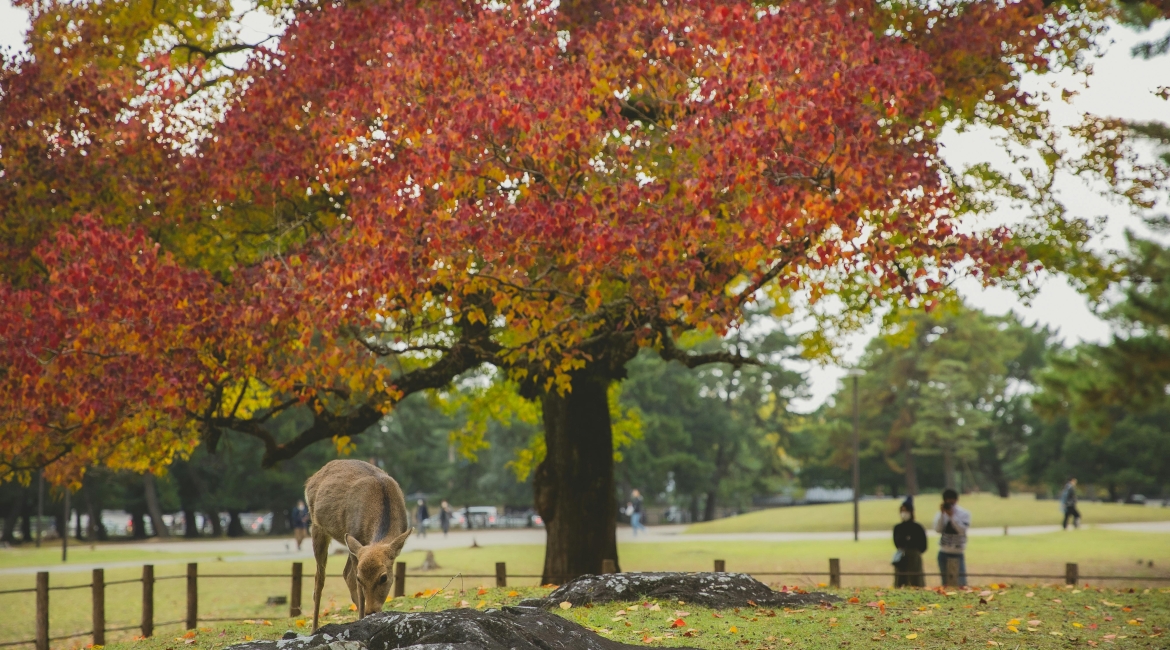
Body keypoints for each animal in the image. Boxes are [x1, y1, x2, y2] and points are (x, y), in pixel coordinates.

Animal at [304, 455, 414, 631]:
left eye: (384, 577)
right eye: (360, 579)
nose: (371, 611)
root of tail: (311, 479)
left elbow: (350, 577)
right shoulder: (354, 535)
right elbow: (355, 584)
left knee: (345, 573)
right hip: (317, 527)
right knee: (319, 579)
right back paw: (314, 629)